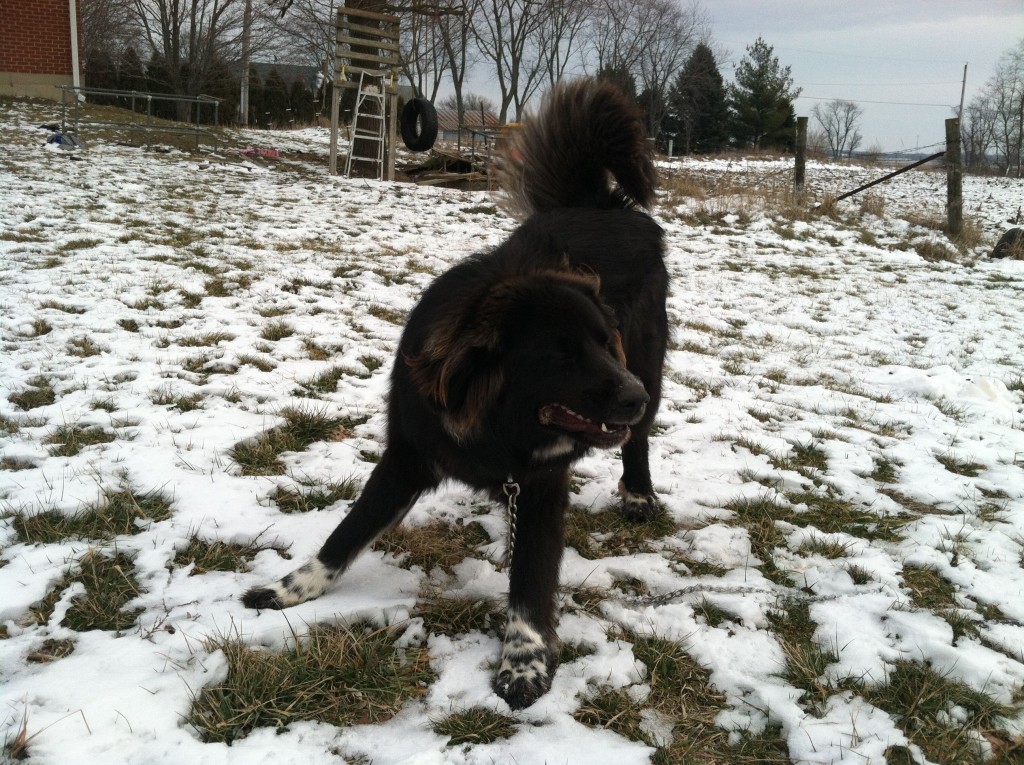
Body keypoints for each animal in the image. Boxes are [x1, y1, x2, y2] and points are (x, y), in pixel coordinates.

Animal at [243, 79, 667, 712]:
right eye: (561, 356)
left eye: (602, 343)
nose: (633, 396)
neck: (498, 429)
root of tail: (601, 205)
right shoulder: (408, 454)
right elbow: (346, 533)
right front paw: (290, 589)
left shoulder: (541, 485)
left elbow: (531, 580)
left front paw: (523, 661)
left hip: (652, 365)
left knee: (637, 444)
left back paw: (638, 494)